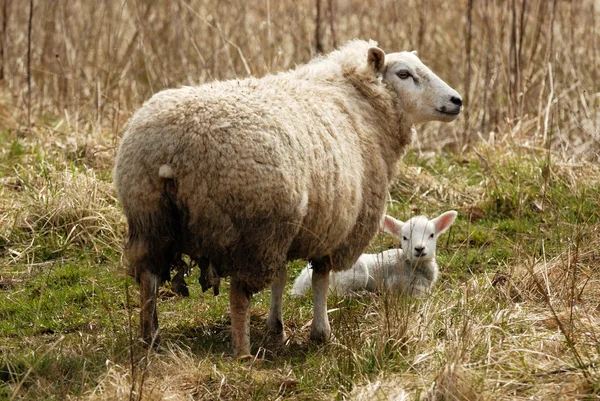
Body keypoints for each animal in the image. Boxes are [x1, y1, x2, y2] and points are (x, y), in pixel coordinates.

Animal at [292, 209, 458, 296]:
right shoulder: (397, 282)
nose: (419, 248)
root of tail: (300, 285)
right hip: (356, 274)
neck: (414, 265)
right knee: (336, 293)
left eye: (432, 235)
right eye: (405, 237)